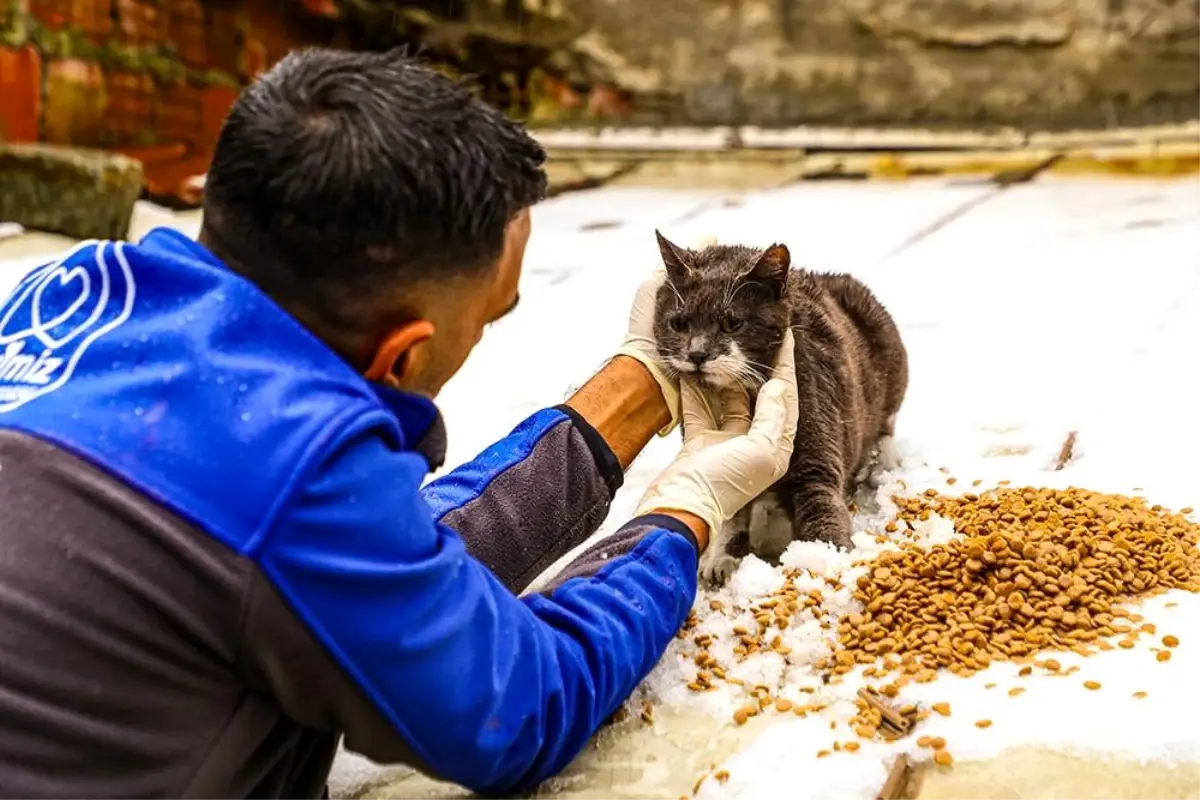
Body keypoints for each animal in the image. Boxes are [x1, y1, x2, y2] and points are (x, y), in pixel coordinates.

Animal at [652, 227, 902, 585]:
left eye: (733, 323)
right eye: (679, 323)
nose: (697, 354)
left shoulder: (815, 439)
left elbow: (821, 500)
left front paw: (828, 561)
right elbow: (731, 511)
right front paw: (721, 558)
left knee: (887, 425)